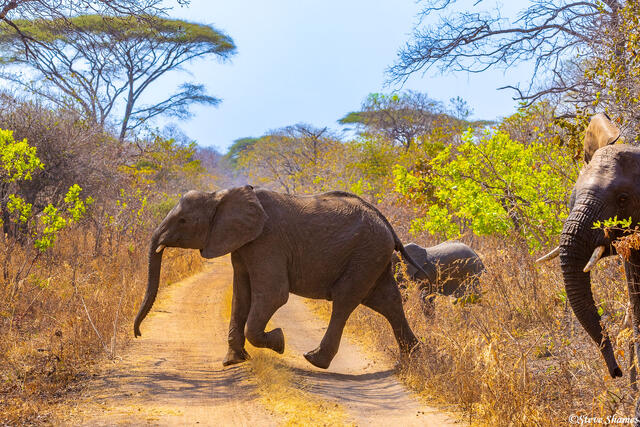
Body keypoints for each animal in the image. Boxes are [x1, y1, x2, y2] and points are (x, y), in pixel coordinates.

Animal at [133, 186, 436, 370]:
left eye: (183, 221)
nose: (137, 334)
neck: (220, 195)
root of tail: (386, 222)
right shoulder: (244, 244)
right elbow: (241, 294)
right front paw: (233, 362)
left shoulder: (267, 242)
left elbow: (273, 294)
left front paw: (278, 342)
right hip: (373, 256)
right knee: (386, 301)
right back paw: (414, 358)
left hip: (366, 253)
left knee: (345, 301)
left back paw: (314, 360)